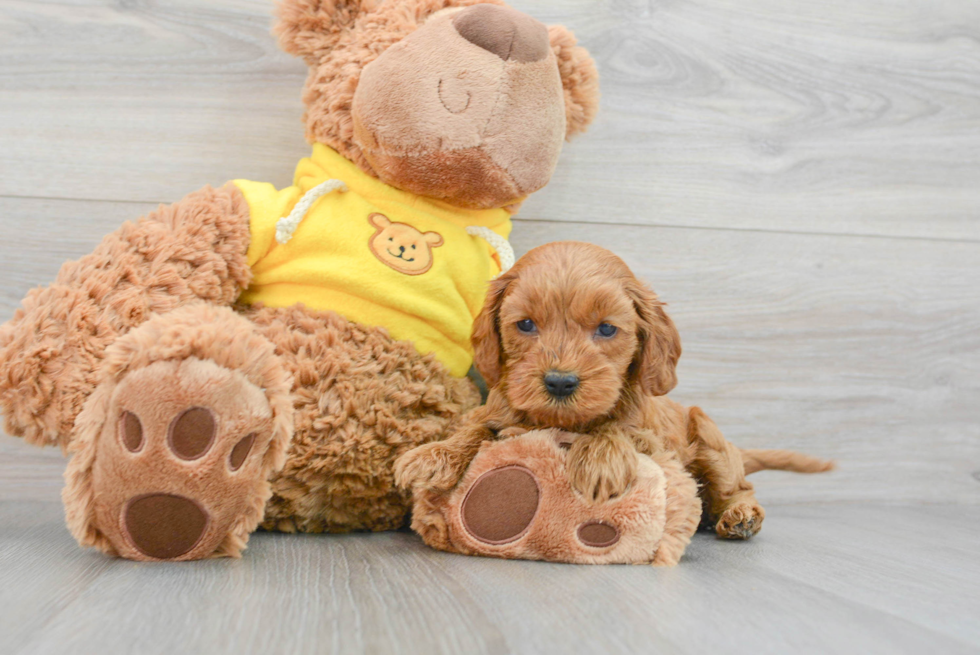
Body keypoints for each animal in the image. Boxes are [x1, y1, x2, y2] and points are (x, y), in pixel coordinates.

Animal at [394, 241, 832, 540]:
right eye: (526, 324)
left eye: (606, 328)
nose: (560, 381)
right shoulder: (497, 408)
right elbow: (478, 426)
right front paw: (435, 455)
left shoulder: (652, 438)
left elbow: (616, 428)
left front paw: (599, 462)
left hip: (710, 438)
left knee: (737, 487)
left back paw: (740, 516)